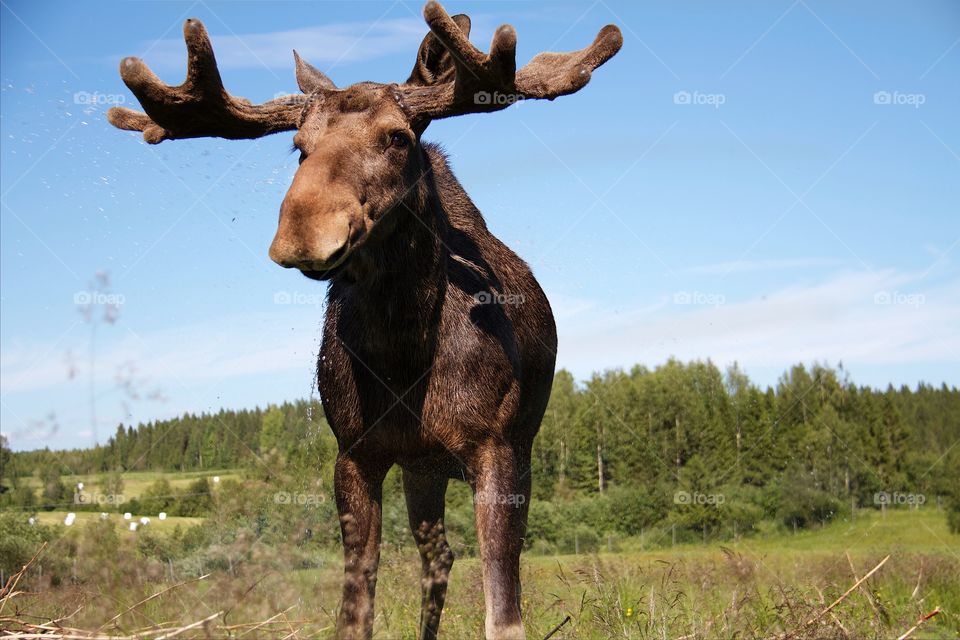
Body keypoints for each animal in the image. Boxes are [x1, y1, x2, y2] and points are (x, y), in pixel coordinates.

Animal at [107, 2, 624, 636]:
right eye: (299, 146)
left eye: (397, 136)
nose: (303, 228)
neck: (403, 355)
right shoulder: (355, 454)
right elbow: (354, 613)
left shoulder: (497, 448)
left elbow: (504, 614)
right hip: (422, 467)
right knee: (439, 554)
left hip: (492, 453)